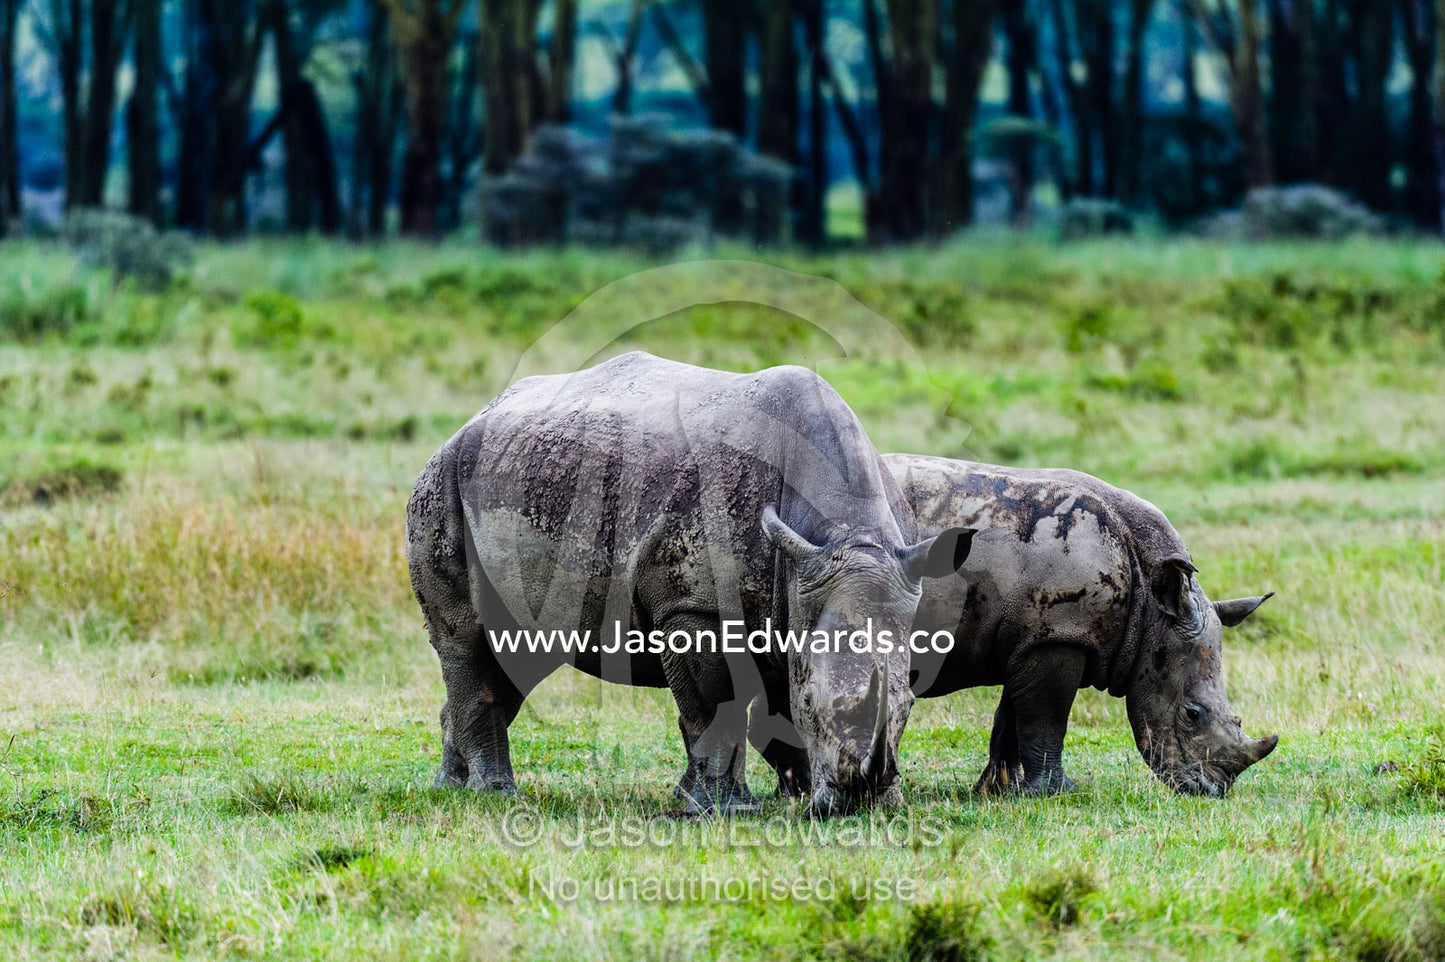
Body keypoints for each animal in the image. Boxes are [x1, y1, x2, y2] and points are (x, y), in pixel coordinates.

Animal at [406, 353, 972, 817]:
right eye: (811, 702)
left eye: (909, 706)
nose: (863, 804)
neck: (843, 534)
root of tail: (471, 420)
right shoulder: (697, 606)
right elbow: (717, 704)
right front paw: (725, 809)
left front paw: (729, 797)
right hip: (441, 483)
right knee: (468, 638)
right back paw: (494, 794)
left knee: (518, 653)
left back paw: (450, 788)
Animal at [883, 453, 1278, 798]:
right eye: (1192, 714)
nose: (1212, 790)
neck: (1151, 607)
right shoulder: (1062, 634)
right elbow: (1046, 717)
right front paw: (1057, 792)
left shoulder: (1033, 636)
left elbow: (1011, 716)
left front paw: (998, 791)